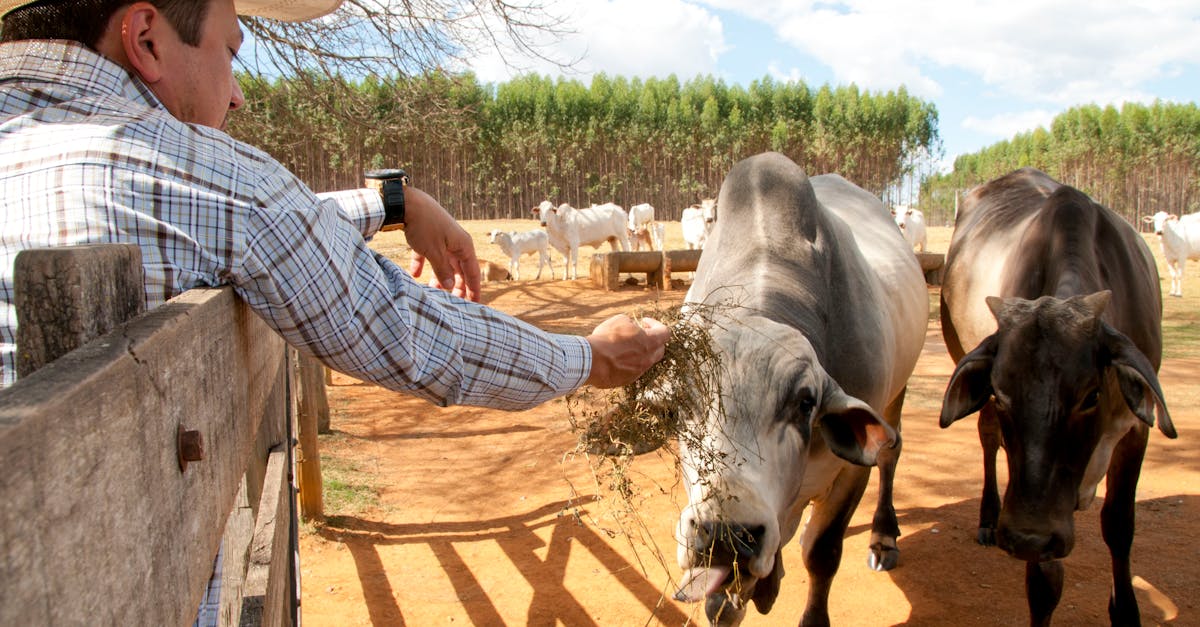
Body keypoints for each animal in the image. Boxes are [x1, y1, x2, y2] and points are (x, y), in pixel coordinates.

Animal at [667, 152, 928, 626]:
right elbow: (721, 596)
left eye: (806, 403)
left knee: (891, 453)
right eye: (680, 404)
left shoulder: (850, 470)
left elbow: (822, 554)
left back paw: (883, 537)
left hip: (898, 393)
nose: (726, 532)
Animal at [939, 168, 1177, 626]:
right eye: (1000, 394)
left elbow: (1119, 525)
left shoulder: (1136, 429)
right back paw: (988, 516)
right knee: (988, 438)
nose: (1025, 537)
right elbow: (1045, 582)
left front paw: (1126, 610)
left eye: (1091, 395)